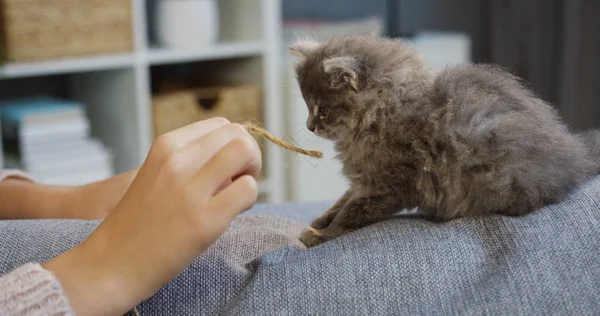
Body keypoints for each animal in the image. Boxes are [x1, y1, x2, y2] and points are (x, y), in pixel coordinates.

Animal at [290, 34, 600, 247]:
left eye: (323, 109)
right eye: (306, 106)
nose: (309, 126)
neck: (381, 112)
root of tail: (577, 157)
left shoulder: (388, 184)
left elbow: (352, 212)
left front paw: (320, 235)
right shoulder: (364, 181)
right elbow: (341, 202)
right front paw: (318, 221)